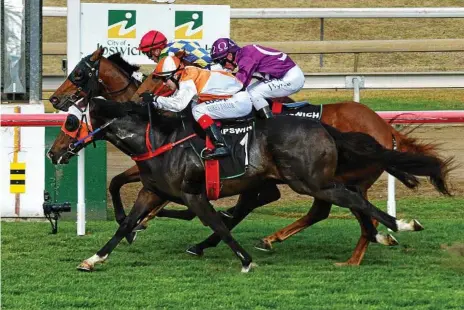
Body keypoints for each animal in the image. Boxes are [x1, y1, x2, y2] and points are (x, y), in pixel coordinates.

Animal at [47, 95, 446, 272]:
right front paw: (93, 258)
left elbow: (219, 224)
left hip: (310, 181)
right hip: (311, 181)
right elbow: (125, 222)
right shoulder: (153, 190)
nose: (53, 152)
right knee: (345, 204)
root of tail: (324, 127)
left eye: (70, 121)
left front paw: (244, 260)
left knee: (352, 202)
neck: (158, 139)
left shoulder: (193, 194)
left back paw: (398, 227)